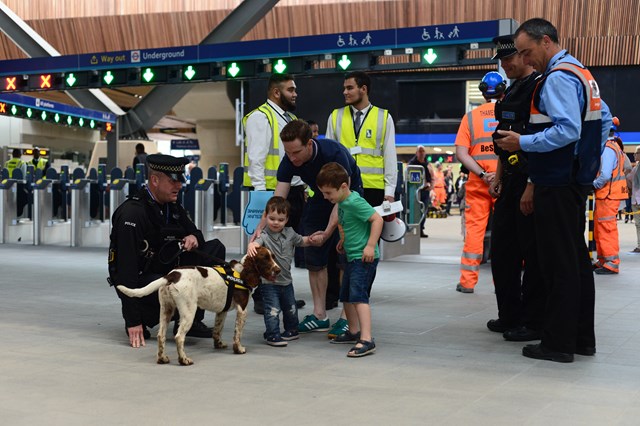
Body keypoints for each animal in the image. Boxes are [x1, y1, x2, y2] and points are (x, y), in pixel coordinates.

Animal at [117, 246, 280, 366]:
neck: (241, 273)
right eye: (265, 258)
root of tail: (171, 275)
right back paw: (184, 360)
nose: (278, 270)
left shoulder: (222, 311)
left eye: (273, 256)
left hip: (166, 309)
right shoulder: (242, 310)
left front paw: (219, 344)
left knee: (160, 336)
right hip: (188, 312)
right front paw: (238, 349)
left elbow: (217, 330)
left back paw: (162, 358)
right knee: (179, 337)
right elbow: (237, 334)